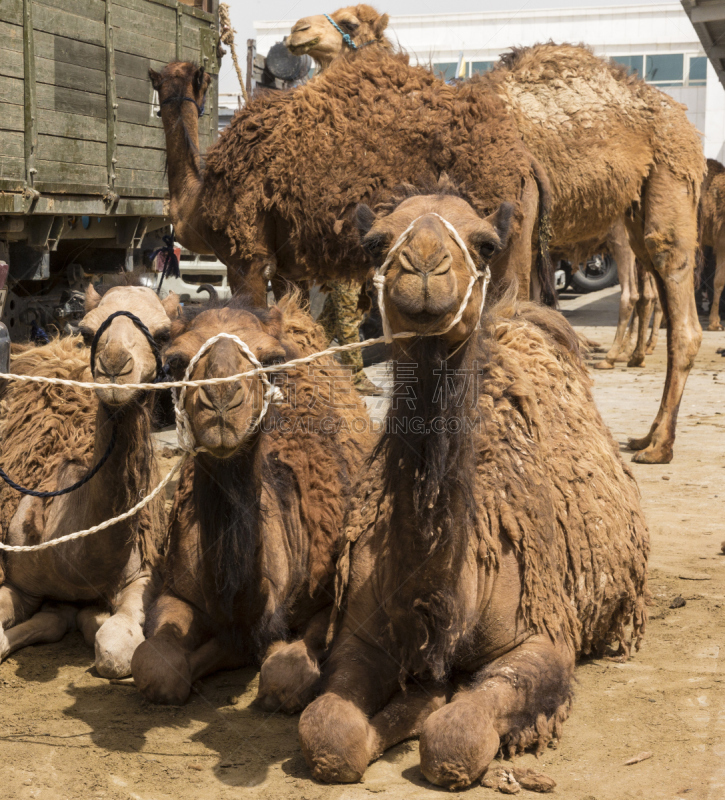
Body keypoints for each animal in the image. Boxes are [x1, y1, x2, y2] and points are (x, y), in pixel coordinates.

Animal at [0, 284, 177, 680]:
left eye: (164, 334)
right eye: (86, 331)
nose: (114, 365)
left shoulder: (143, 575)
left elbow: (116, 651)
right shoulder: (16, 576)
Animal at [129, 294, 374, 708]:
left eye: (273, 360)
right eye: (175, 361)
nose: (222, 399)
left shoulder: (327, 598)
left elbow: (285, 674)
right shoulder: (176, 590)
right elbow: (155, 666)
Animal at [151, 54, 556, 310]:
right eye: (162, 81)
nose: (158, 85)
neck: (198, 199)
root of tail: (526, 160)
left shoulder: (246, 258)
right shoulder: (287, 270)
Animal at [296, 186, 648, 788]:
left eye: (484, 243)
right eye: (376, 242)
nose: (425, 266)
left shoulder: (542, 637)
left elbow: (454, 740)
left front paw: (436, 708)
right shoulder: (359, 637)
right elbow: (329, 731)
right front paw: (413, 704)